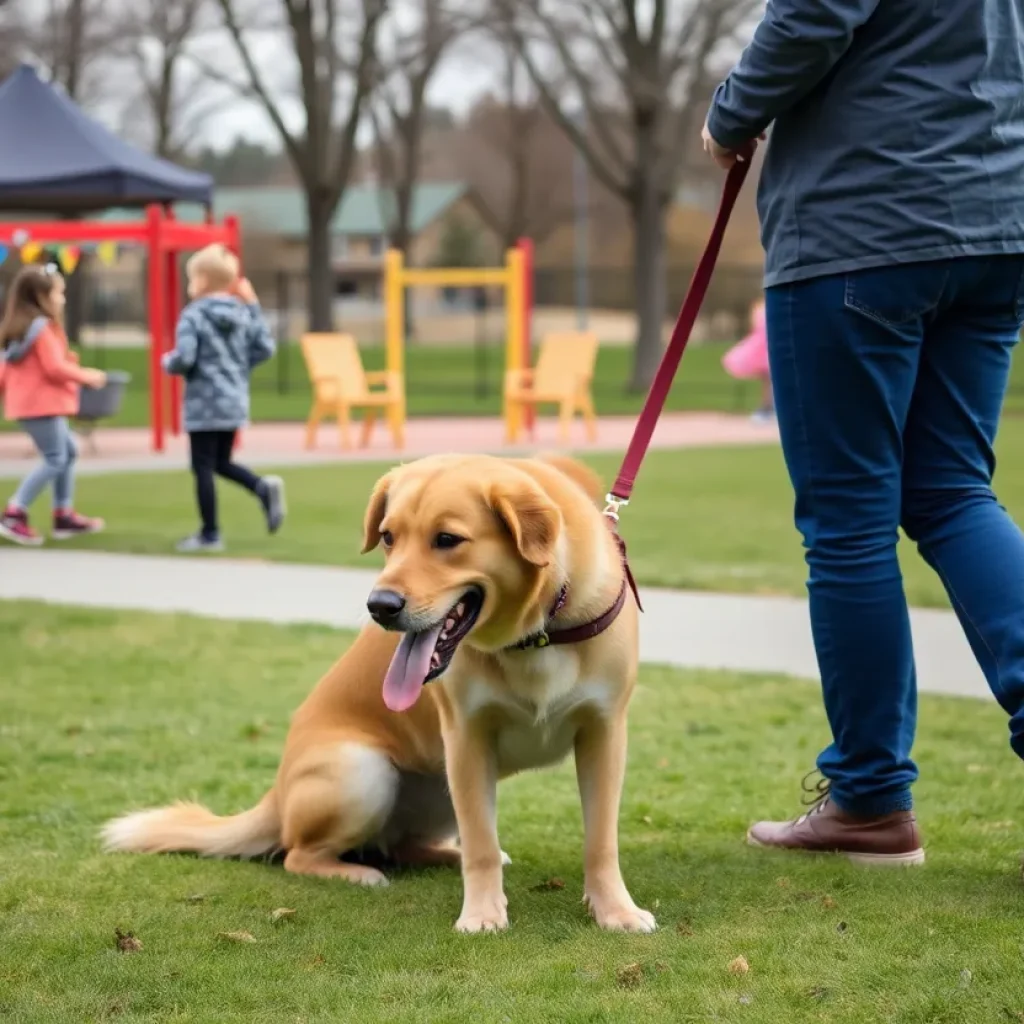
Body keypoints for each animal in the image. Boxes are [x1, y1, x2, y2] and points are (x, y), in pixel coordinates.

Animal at [101, 452, 647, 933]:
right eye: (388, 537)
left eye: (448, 539)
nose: (379, 606)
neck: (535, 636)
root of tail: (277, 794)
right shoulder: (467, 739)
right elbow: (481, 847)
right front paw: (482, 915)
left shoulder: (603, 735)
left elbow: (600, 841)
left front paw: (615, 911)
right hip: (366, 771)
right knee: (299, 854)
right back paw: (358, 873)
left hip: (440, 785)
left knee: (403, 845)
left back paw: (441, 854)